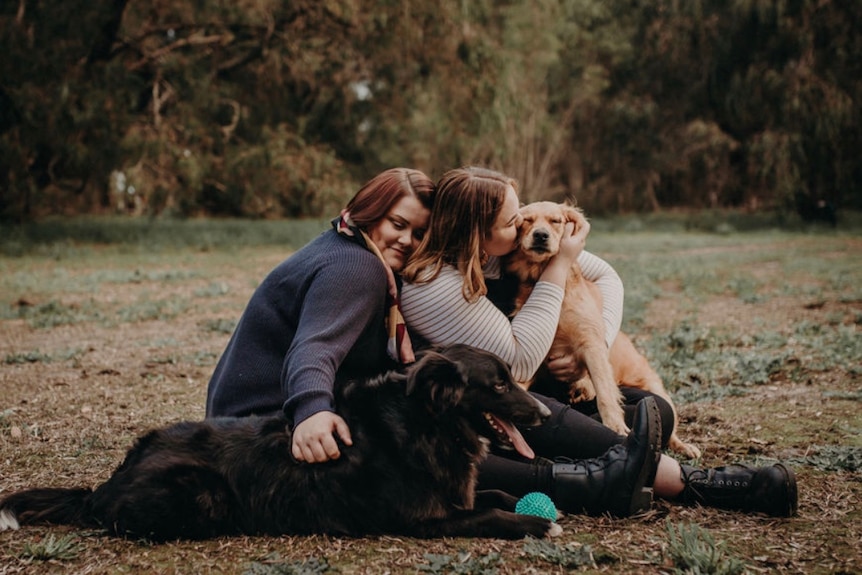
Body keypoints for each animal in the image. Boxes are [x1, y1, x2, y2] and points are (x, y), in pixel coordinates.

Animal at [0, 346, 560, 540]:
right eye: (499, 385)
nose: (546, 414)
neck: (426, 423)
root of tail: (107, 483)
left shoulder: (454, 494)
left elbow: (493, 495)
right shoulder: (421, 520)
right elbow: (486, 513)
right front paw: (536, 524)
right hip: (206, 494)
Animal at [506, 202, 704, 460]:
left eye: (555, 221)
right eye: (526, 221)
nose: (541, 235)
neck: (544, 279)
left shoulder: (591, 344)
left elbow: (605, 394)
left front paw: (615, 426)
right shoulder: (533, 352)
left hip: (658, 391)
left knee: (670, 428)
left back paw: (684, 446)